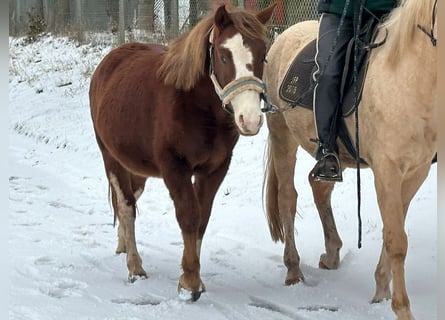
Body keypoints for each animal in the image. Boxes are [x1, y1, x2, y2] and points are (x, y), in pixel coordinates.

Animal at [89, 3, 274, 302]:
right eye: (223, 56)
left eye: (263, 54)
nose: (250, 119)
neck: (194, 105)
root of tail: (110, 61)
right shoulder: (175, 168)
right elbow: (189, 216)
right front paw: (189, 283)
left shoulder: (215, 169)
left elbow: (202, 218)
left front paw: (196, 277)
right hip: (111, 157)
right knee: (127, 206)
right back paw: (135, 266)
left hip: (137, 167)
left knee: (128, 199)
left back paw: (123, 245)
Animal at [262, 0, 436, 318]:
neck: (409, 76)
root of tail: (284, 35)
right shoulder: (387, 171)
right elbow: (397, 240)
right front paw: (401, 307)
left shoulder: (415, 173)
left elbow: (393, 232)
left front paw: (381, 291)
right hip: (282, 137)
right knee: (287, 199)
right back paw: (293, 270)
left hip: (334, 157)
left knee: (319, 186)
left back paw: (332, 253)